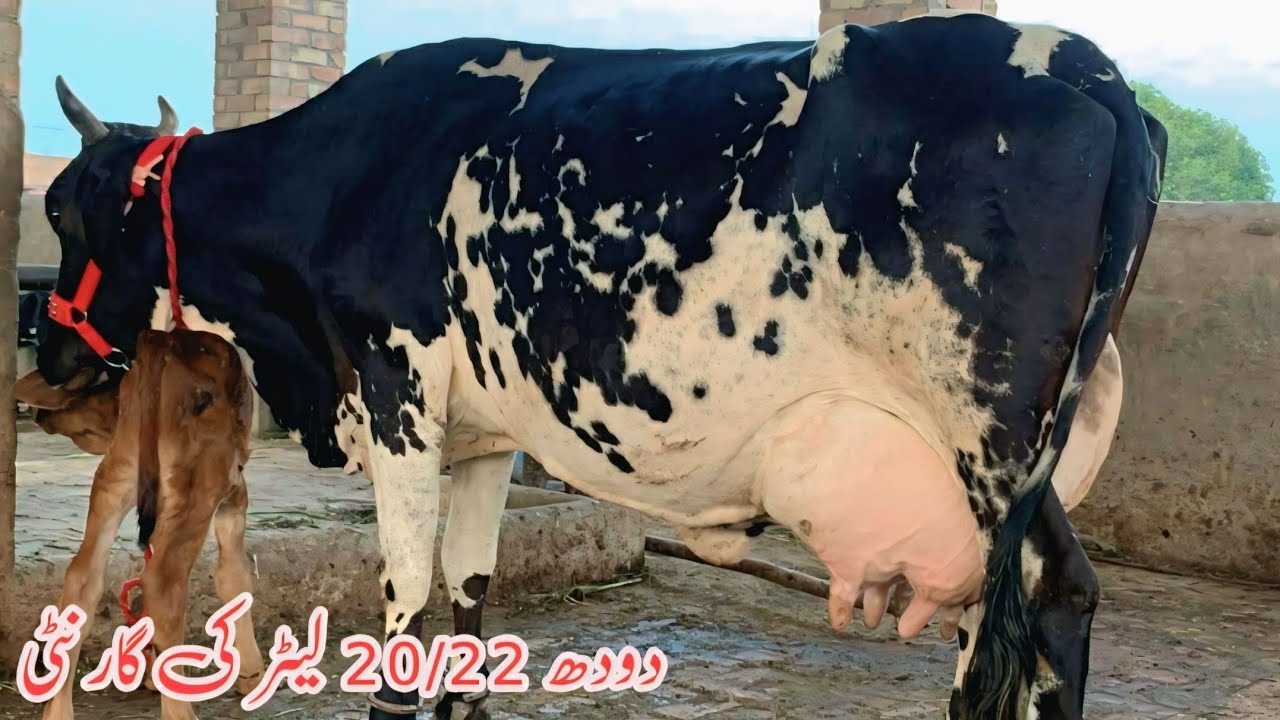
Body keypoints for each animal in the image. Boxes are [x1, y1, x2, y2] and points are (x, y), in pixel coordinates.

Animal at [16, 329, 265, 720]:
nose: (42, 417)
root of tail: (162, 341)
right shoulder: (233, 494)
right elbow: (234, 576)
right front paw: (253, 676)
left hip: (115, 476)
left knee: (83, 578)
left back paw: (59, 710)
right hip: (199, 485)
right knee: (163, 583)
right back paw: (181, 710)